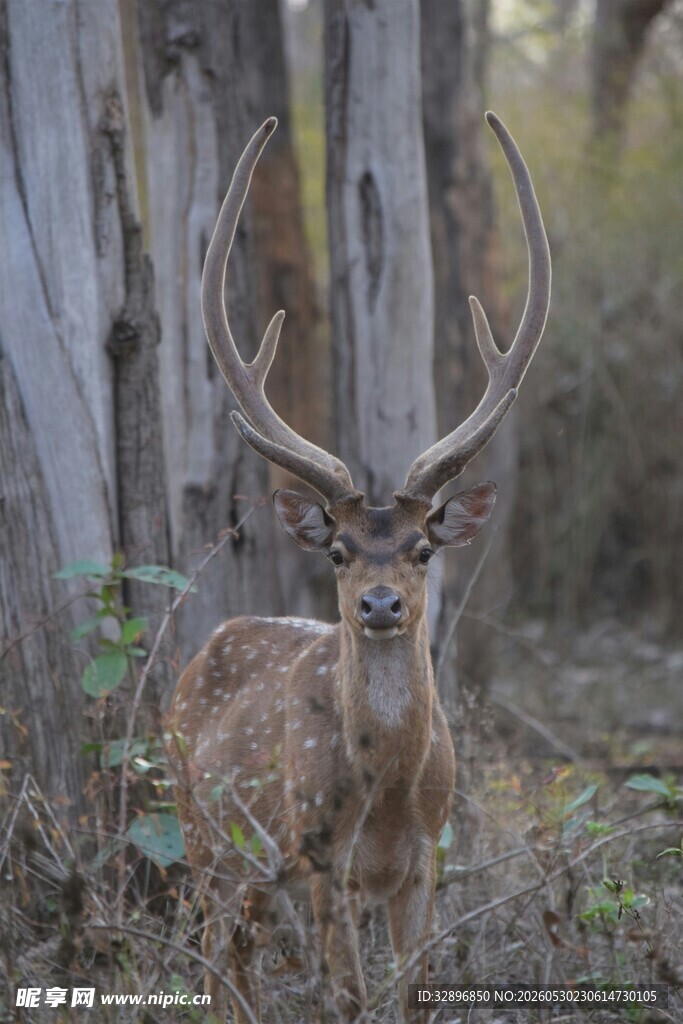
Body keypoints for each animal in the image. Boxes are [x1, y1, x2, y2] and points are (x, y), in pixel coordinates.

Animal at [168, 111, 550, 1023]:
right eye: (338, 550)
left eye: (422, 549)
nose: (379, 605)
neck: (383, 806)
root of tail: (197, 659)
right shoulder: (320, 858)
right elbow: (345, 996)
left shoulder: (424, 861)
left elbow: (414, 992)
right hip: (201, 831)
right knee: (215, 961)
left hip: (249, 869)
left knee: (235, 962)